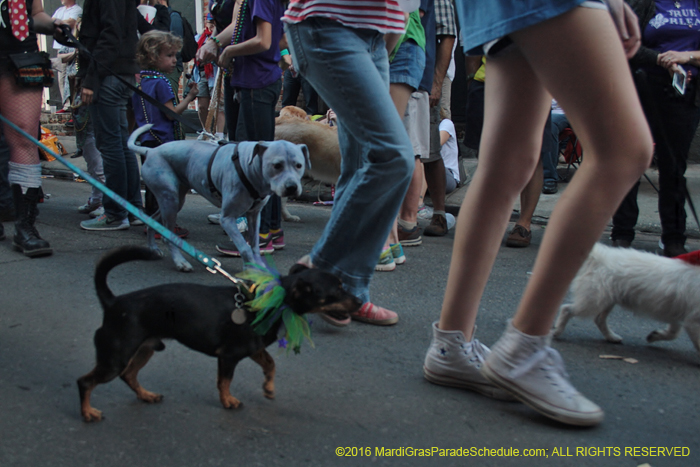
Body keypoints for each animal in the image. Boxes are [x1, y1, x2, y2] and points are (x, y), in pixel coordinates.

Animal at [77, 247, 360, 422]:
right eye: (337, 290)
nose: (359, 302)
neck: (274, 302)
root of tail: (114, 302)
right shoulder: (229, 356)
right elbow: (224, 381)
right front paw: (227, 401)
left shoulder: (254, 348)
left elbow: (271, 364)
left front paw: (268, 388)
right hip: (115, 357)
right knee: (85, 382)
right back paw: (88, 413)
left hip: (144, 349)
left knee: (129, 375)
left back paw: (146, 395)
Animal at [126, 124, 312, 274]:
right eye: (277, 165)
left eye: (299, 165)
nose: (292, 187)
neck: (250, 168)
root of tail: (150, 151)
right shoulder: (227, 219)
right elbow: (244, 247)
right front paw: (250, 269)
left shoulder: (254, 215)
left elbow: (254, 244)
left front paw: (258, 265)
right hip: (169, 199)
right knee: (167, 236)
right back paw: (180, 262)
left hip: (174, 201)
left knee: (151, 221)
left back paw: (153, 248)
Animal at [552, 245, 700, 354]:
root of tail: (598, 257)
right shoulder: (692, 322)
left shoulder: (677, 315)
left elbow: (673, 333)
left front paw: (655, 335)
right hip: (591, 301)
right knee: (566, 309)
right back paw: (557, 331)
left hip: (606, 300)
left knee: (599, 319)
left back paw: (611, 337)